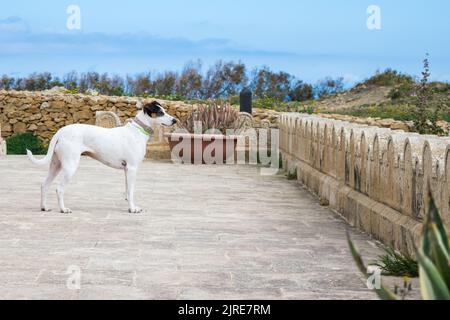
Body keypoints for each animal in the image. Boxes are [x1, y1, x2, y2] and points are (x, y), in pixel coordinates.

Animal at [26, 101, 178, 214]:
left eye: (164, 111)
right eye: (160, 113)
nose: (175, 120)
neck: (138, 130)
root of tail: (61, 131)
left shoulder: (126, 170)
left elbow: (127, 191)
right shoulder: (132, 168)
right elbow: (131, 191)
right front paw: (132, 209)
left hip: (56, 164)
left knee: (44, 185)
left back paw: (44, 207)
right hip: (70, 166)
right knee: (59, 188)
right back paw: (63, 209)